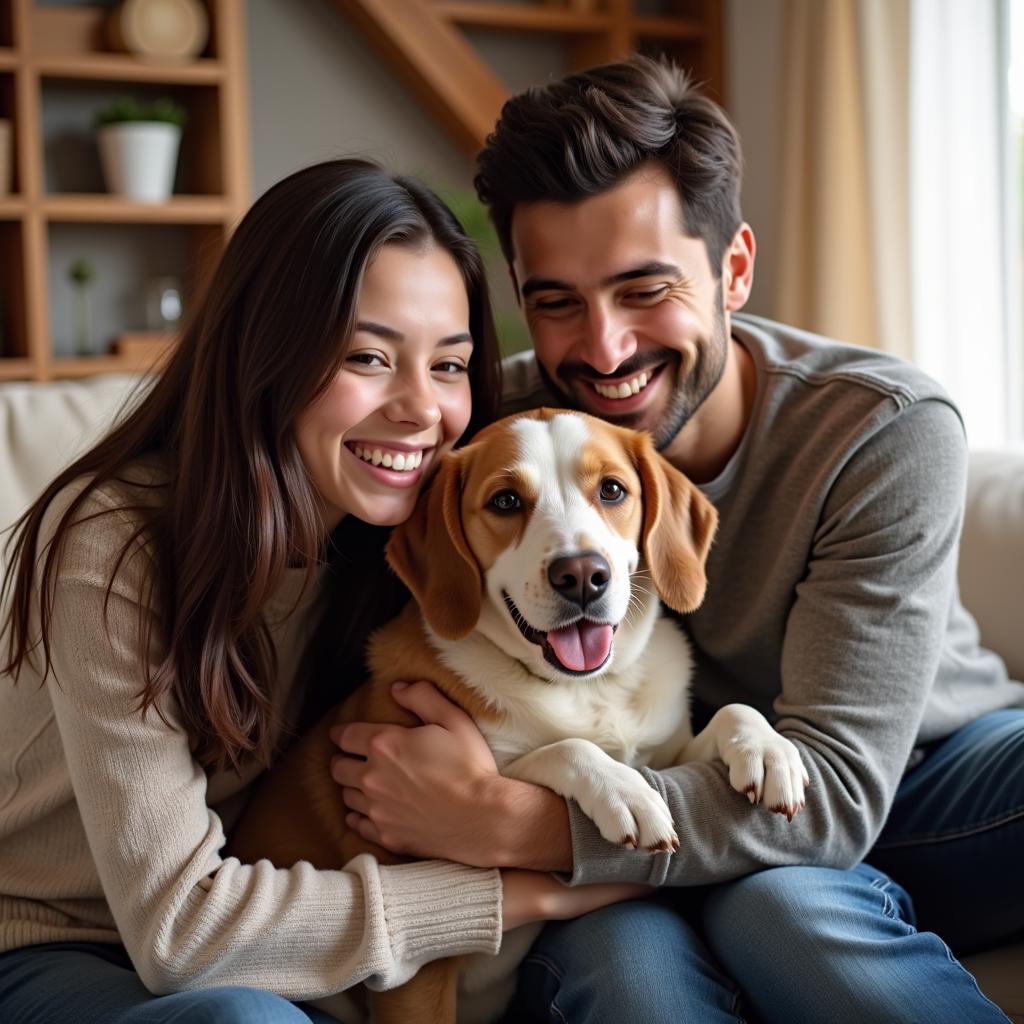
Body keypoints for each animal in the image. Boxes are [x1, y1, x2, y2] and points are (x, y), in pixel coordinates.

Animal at [230, 407, 806, 1024]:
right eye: (506, 501)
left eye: (611, 490)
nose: (582, 574)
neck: (585, 689)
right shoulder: (418, 973)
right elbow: (560, 750)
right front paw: (623, 790)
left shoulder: (669, 751)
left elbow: (730, 714)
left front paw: (768, 750)